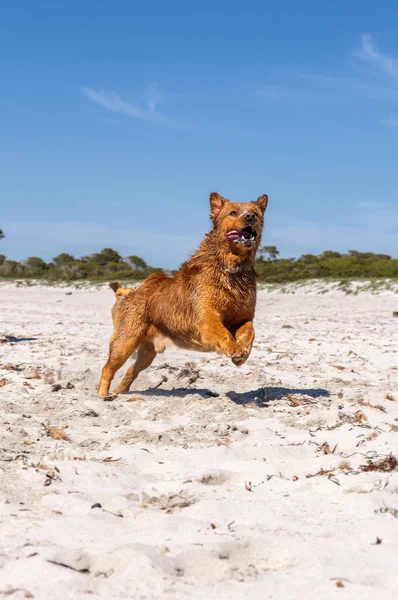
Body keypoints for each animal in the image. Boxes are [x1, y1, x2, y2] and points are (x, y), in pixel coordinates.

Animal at [98, 193, 268, 398]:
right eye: (233, 212)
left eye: (255, 214)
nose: (250, 217)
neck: (233, 267)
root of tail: (135, 290)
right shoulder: (207, 318)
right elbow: (224, 333)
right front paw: (234, 348)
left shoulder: (243, 317)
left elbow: (250, 331)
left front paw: (242, 353)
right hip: (126, 342)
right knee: (107, 369)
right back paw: (102, 396)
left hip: (147, 353)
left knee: (132, 370)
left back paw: (120, 392)